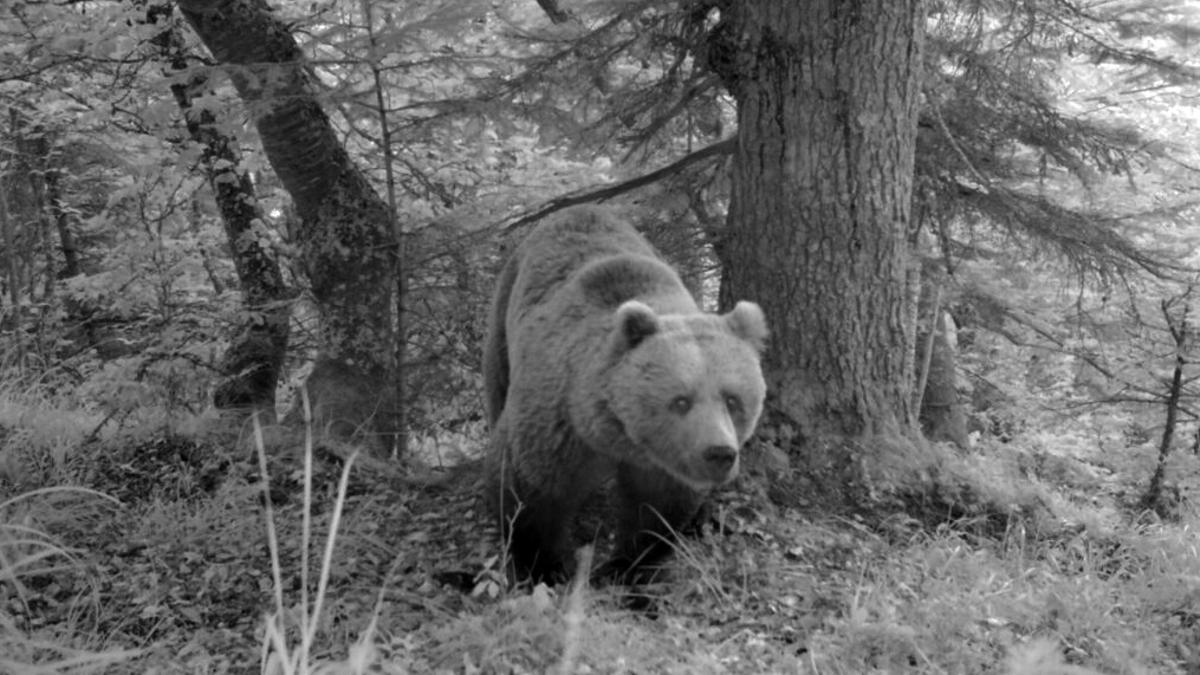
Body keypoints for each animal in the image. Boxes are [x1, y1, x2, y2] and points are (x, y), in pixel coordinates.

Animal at [480, 205, 768, 583]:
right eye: (681, 400)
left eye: (733, 399)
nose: (719, 453)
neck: (616, 435)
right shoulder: (558, 422)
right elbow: (529, 489)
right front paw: (544, 567)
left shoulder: (663, 462)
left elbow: (658, 508)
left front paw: (624, 566)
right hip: (503, 316)